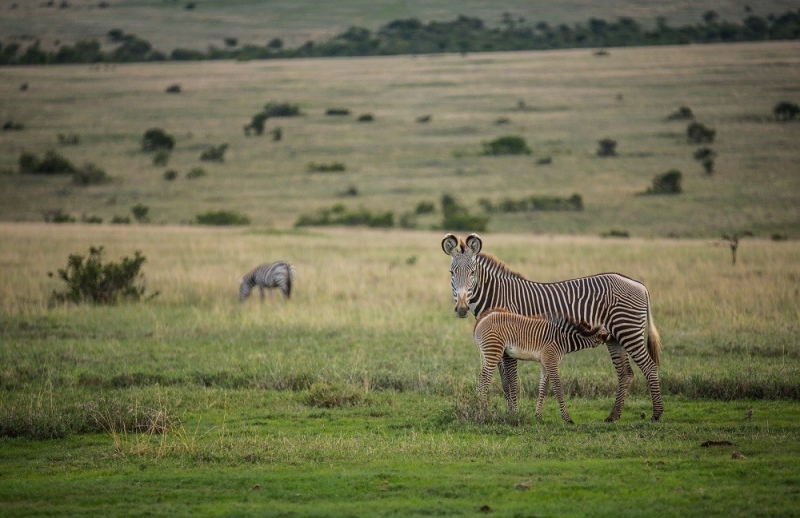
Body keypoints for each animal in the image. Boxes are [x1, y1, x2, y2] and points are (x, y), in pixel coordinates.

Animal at [476, 306, 608, 424]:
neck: (563, 340)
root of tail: (481, 320)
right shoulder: (551, 361)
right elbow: (557, 387)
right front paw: (567, 418)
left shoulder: (545, 363)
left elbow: (542, 387)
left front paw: (538, 416)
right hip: (494, 351)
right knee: (485, 378)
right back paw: (483, 412)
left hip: (489, 352)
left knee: (481, 376)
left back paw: (479, 407)